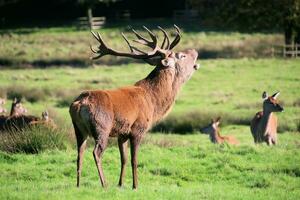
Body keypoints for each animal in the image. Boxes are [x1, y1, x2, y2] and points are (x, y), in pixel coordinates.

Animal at [69, 25, 200, 189]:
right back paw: (104, 184)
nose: (195, 51)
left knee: (79, 153)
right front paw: (135, 185)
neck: (153, 101)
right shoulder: (138, 129)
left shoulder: (122, 133)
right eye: (181, 55)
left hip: (79, 129)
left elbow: (123, 159)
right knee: (96, 152)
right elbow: (134, 160)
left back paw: (78, 185)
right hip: (101, 127)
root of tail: (79, 104)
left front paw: (120, 184)